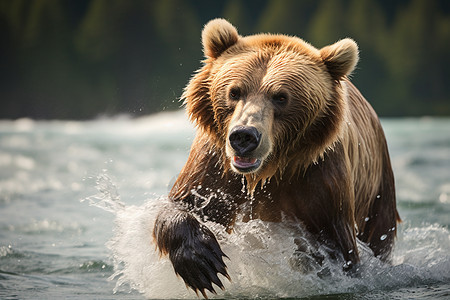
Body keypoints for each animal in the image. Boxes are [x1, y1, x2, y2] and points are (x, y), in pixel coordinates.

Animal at [153, 18, 400, 298]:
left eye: (281, 97)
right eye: (234, 92)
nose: (244, 136)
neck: (265, 173)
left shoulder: (319, 179)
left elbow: (336, 249)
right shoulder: (216, 164)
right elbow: (186, 202)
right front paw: (202, 263)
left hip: (378, 191)